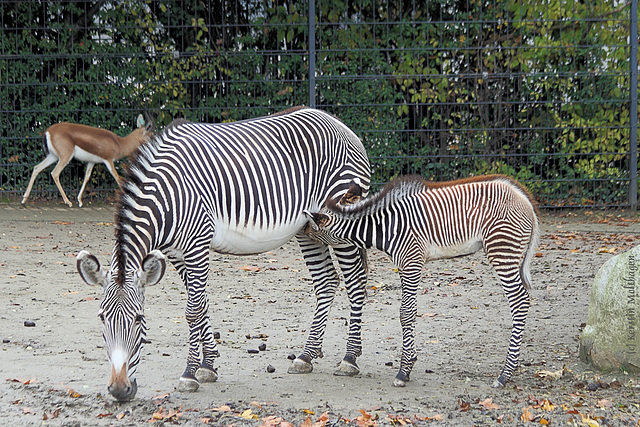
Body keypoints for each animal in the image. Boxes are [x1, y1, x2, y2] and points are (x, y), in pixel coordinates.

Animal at [76, 107, 370, 402]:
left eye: (139, 319)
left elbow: (193, 309)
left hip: (342, 222)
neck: (168, 196)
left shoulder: (197, 244)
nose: (119, 390)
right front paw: (208, 365)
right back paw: (307, 356)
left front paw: (189, 374)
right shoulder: (175, 253)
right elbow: (202, 303)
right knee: (327, 282)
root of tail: (338, 122)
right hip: (308, 228)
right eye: (101, 317)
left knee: (355, 282)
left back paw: (349, 359)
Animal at [304, 173, 540, 388]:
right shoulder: (406, 265)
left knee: (519, 301)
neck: (386, 227)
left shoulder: (411, 262)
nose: (301, 232)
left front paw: (403, 371)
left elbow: (406, 313)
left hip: (502, 250)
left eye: (311, 228)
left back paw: (505, 374)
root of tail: (522, 195)